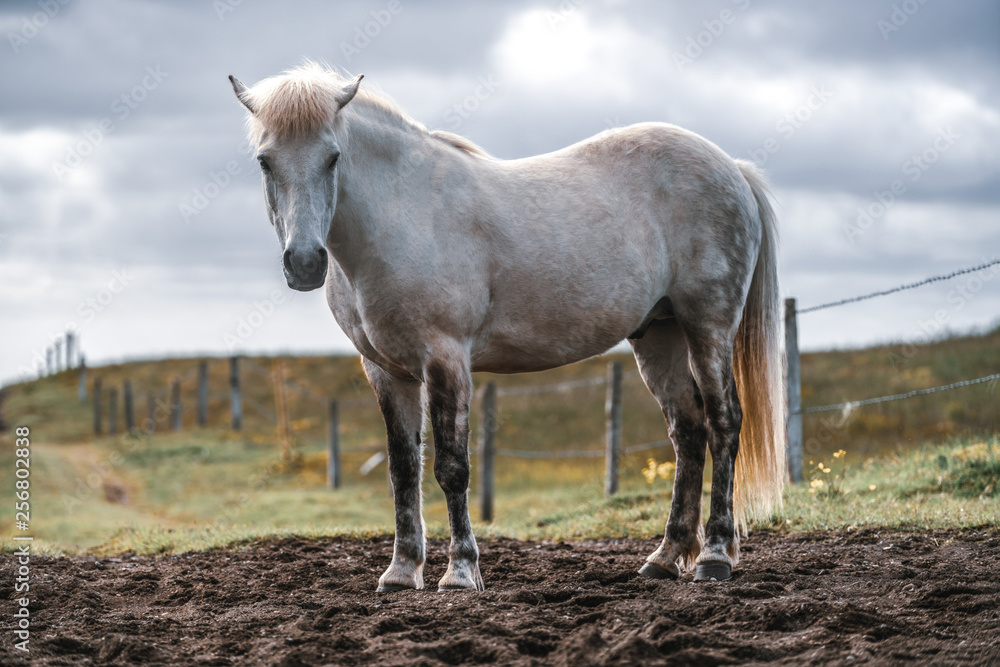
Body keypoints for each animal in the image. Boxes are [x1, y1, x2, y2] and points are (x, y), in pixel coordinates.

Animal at [230, 64, 784, 588]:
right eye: (265, 161)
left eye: (333, 157)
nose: (305, 263)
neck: (401, 216)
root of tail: (732, 168)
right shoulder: (386, 371)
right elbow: (403, 470)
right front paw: (402, 571)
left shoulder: (446, 359)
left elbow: (451, 468)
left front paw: (460, 572)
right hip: (658, 336)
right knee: (688, 432)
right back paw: (665, 559)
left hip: (708, 326)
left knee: (724, 422)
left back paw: (714, 556)